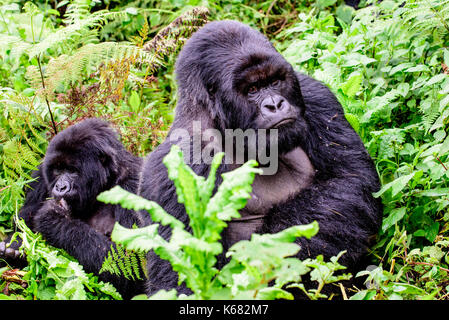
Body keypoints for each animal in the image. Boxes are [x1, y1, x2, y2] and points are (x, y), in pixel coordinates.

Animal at [0, 118, 144, 300]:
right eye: (57, 170)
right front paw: (12, 249)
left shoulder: (134, 182)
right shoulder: (41, 173)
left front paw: (54, 220)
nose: (60, 187)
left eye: (72, 170)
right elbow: (21, 224)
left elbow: (132, 264)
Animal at [140, 19, 382, 296]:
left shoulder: (315, 95)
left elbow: (350, 180)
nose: (275, 104)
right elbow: (178, 281)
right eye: (253, 89)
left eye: (275, 82)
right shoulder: (177, 165)